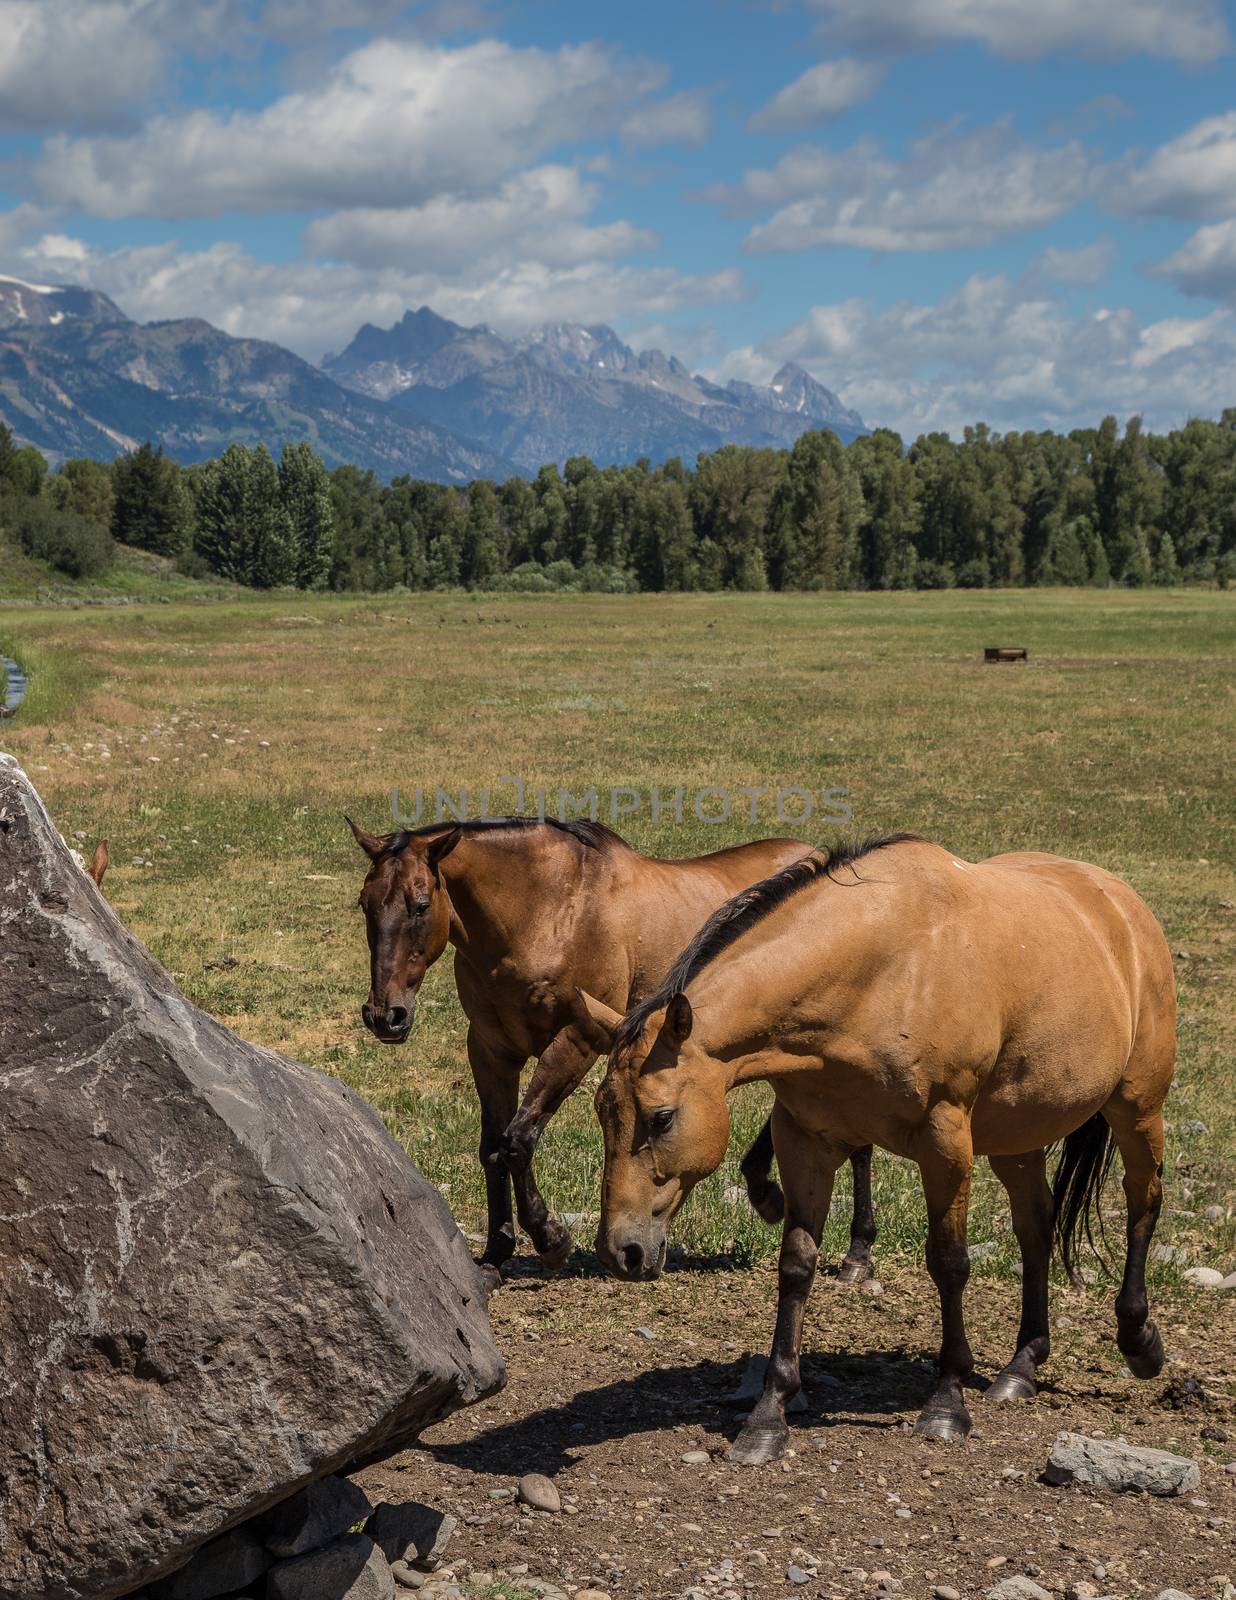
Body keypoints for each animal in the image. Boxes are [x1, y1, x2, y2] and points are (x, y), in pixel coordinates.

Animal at [347, 819, 883, 1280]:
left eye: (420, 905)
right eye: (365, 904)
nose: (385, 1016)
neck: (545, 913)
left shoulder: (578, 1041)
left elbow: (518, 1140)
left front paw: (551, 1239)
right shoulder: (491, 1050)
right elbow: (492, 1148)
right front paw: (497, 1251)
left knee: (857, 1143)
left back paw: (856, 1252)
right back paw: (764, 1189)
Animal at [579, 838, 1178, 1465]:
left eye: (661, 1118)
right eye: (601, 1112)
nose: (620, 1252)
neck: (883, 971)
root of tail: (1122, 904)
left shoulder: (946, 1140)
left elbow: (949, 1263)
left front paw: (946, 1403)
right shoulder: (804, 1140)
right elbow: (796, 1265)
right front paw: (769, 1415)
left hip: (1137, 1107)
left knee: (1143, 1202)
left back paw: (1139, 1340)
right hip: (1020, 1136)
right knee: (1035, 1228)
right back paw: (1022, 1366)